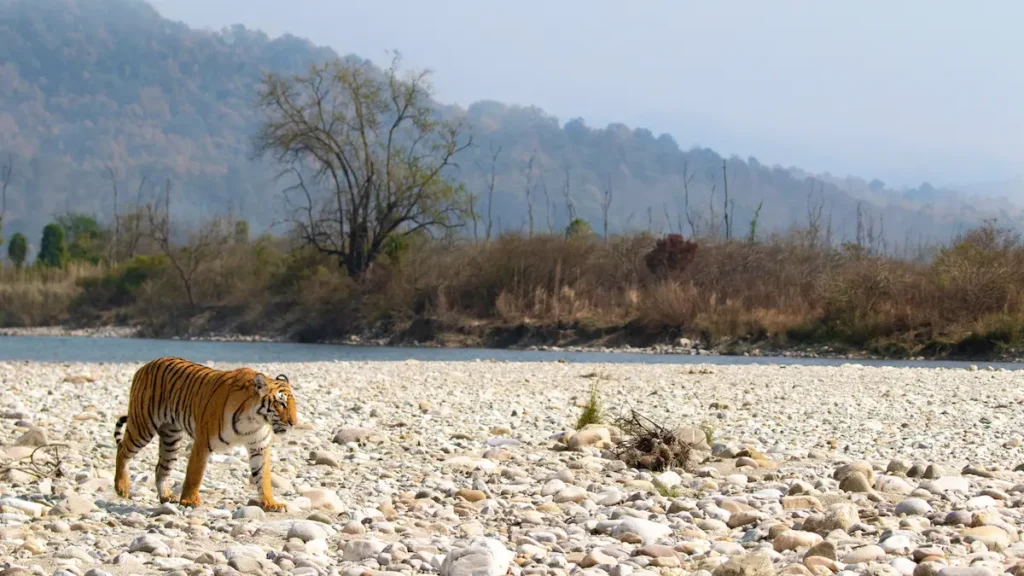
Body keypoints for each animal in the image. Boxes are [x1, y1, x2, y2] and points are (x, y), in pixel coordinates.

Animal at [112, 356, 298, 512]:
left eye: (293, 404)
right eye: (281, 403)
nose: (294, 423)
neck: (254, 420)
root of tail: (144, 366)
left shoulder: (259, 446)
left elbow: (264, 477)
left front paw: (271, 503)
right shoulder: (203, 442)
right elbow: (194, 474)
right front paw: (189, 501)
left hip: (171, 438)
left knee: (161, 468)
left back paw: (166, 496)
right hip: (142, 426)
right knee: (122, 450)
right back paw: (122, 488)